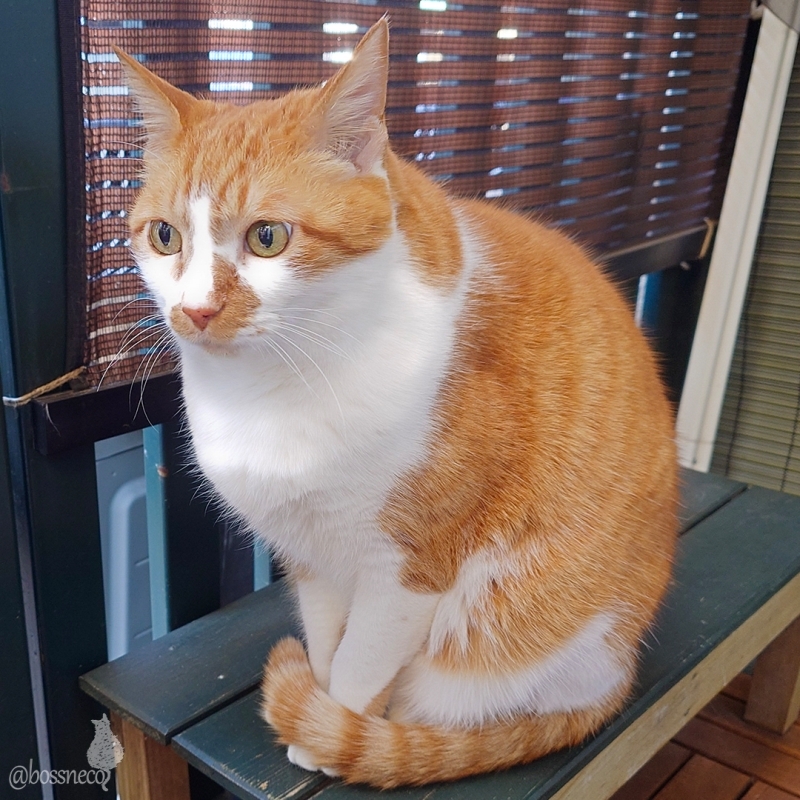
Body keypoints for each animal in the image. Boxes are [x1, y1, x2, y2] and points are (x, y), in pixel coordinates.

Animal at [116, 17, 678, 788]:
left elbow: (360, 665)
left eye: (268, 237)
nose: (195, 311)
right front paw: (321, 708)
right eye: (166, 236)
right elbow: (328, 646)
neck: (271, 390)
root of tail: (619, 684)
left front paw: (330, 734)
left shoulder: (409, 571)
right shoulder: (314, 558)